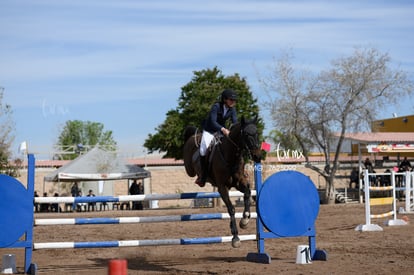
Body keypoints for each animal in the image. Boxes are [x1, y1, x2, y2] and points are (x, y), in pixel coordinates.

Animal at [183, 115, 260, 249]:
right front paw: (235, 238)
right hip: (189, 169)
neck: (231, 156)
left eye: (257, 133)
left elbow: (247, 193)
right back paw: (200, 179)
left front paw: (244, 220)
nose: (257, 157)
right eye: (246, 134)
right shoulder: (222, 187)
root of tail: (193, 136)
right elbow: (231, 209)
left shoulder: (238, 183)